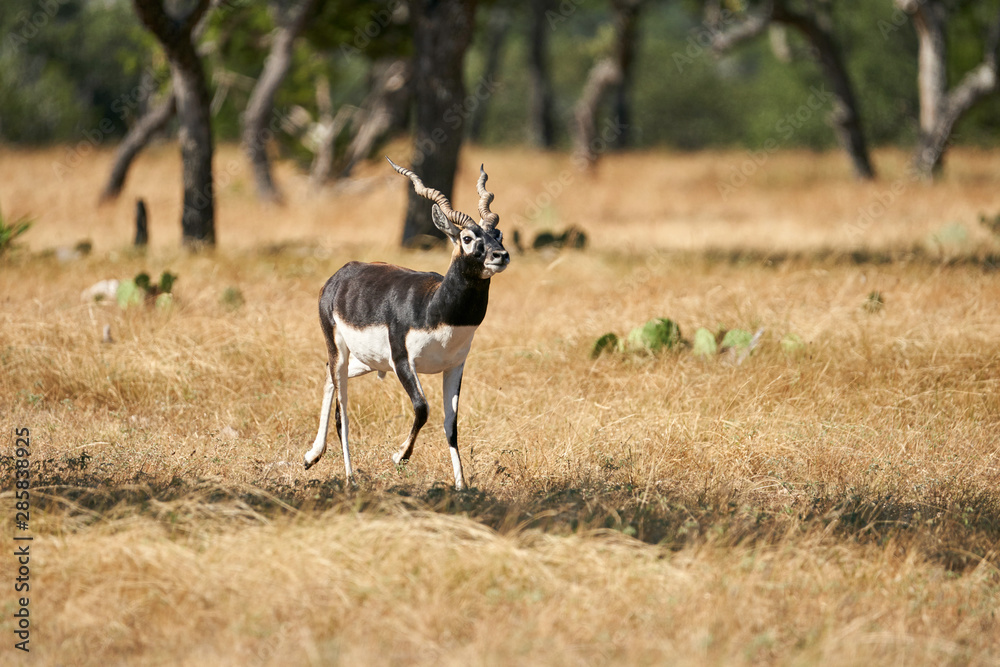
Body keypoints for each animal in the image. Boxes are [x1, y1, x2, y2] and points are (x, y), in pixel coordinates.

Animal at [300, 157, 508, 490]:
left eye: (497, 234)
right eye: (467, 238)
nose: (500, 255)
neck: (436, 310)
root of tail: (340, 274)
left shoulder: (455, 365)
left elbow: (452, 423)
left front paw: (461, 486)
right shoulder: (402, 361)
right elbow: (422, 408)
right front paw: (400, 456)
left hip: (366, 361)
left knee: (328, 380)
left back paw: (312, 456)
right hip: (340, 351)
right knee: (343, 411)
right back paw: (349, 476)